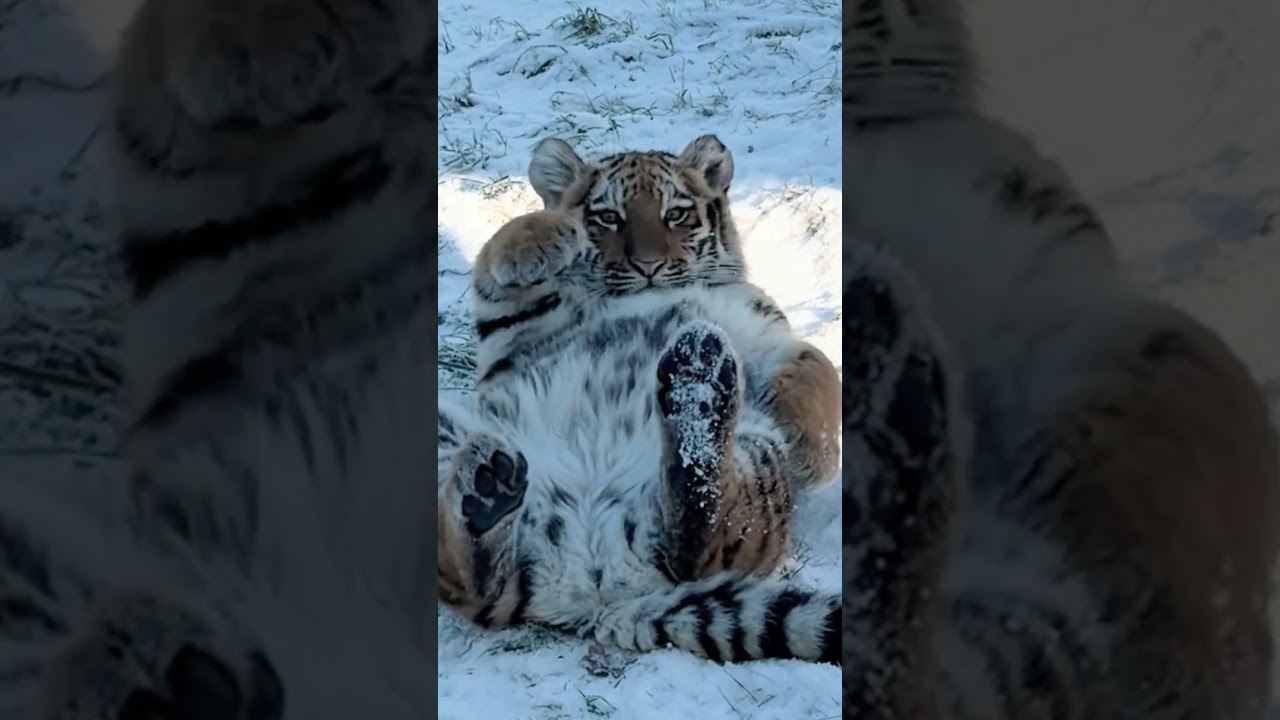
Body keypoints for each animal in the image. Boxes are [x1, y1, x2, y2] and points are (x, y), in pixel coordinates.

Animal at [435, 132, 853, 664]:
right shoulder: (511, 337)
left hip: (756, 459)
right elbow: (500, 244)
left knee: (698, 540)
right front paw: (556, 233)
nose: (649, 266)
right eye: (608, 217)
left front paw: (811, 455)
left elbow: (816, 367)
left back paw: (696, 392)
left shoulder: (762, 334)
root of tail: (596, 594)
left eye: (675, 214)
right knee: (467, 580)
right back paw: (488, 488)